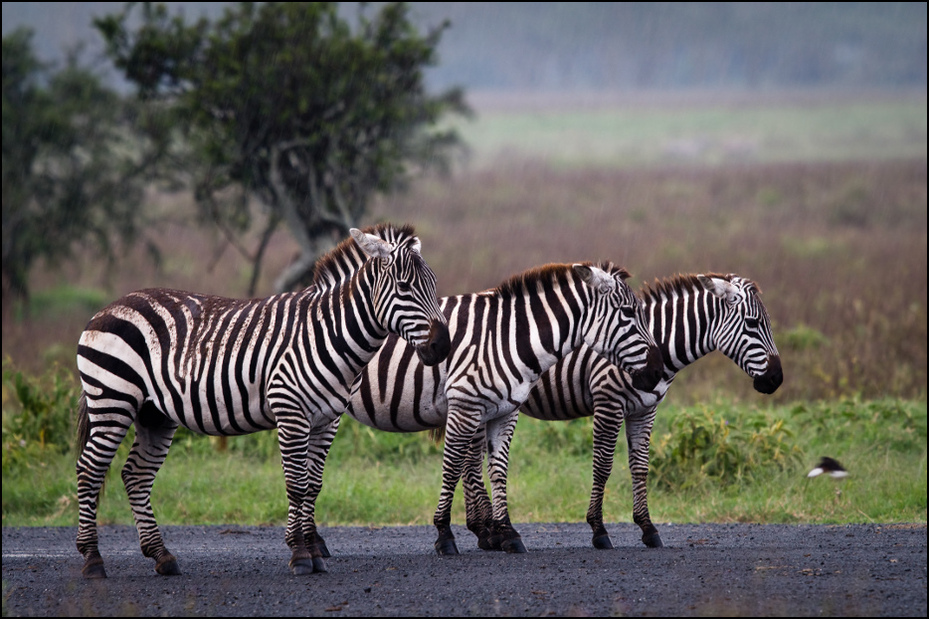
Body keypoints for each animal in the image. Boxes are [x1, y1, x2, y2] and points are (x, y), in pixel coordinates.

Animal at [73, 225, 450, 580]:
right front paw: (300, 555)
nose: (442, 347)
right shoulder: (290, 411)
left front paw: (313, 554)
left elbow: (313, 486)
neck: (329, 334)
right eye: (404, 287)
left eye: (434, 285)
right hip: (112, 400)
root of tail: (109, 306)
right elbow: (297, 485)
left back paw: (161, 556)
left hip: (154, 414)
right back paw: (92, 560)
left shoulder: (328, 420)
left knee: (135, 475)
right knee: (90, 470)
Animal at [342, 262, 668, 556]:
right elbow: (452, 468)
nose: (657, 371)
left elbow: (498, 469)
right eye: (628, 313)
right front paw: (445, 535)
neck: (504, 339)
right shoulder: (465, 404)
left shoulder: (505, 411)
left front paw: (507, 533)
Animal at [460, 274, 780, 548]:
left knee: (470, 460)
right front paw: (598, 530)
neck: (657, 346)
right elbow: (602, 466)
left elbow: (640, 467)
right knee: (471, 461)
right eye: (752, 323)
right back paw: (488, 532)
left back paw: (482, 530)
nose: (777, 379)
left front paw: (648, 528)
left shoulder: (645, 410)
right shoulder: (608, 402)